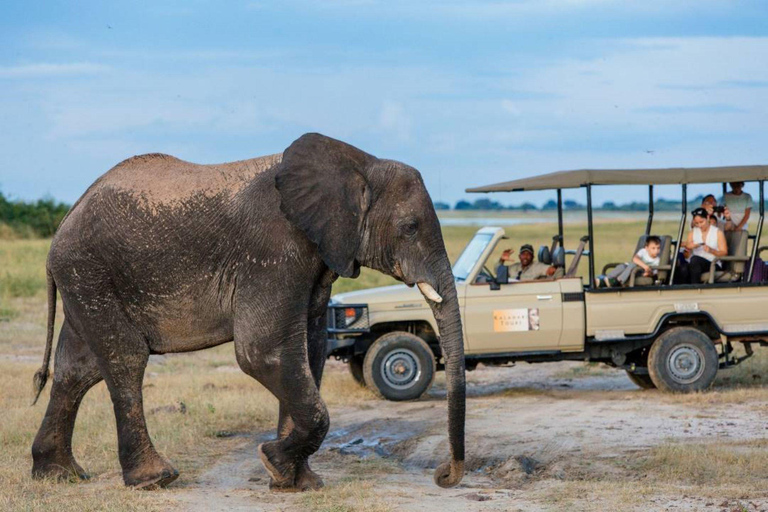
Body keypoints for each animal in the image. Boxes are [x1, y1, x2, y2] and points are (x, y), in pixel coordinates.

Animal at [31, 132, 468, 492]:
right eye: (410, 227)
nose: (442, 476)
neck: (360, 161)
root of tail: (64, 221)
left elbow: (308, 351)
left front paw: (296, 482)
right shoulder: (274, 249)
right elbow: (264, 352)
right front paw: (274, 460)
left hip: (85, 281)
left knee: (77, 369)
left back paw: (59, 475)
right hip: (89, 272)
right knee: (125, 358)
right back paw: (155, 479)